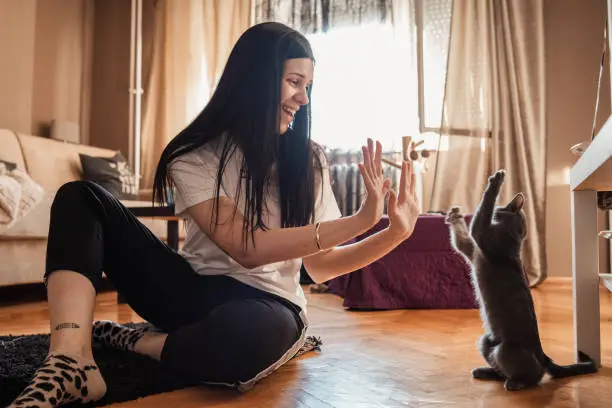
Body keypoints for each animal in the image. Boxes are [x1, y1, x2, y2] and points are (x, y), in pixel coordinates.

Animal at [444, 168, 596, 388]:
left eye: (500, 207)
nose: (500, 208)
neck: (514, 237)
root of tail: (543, 355)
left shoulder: (482, 235)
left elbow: (483, 211)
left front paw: (496, 180)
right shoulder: (472, 248)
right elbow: (462, 237)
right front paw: (455, 214)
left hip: (505, 349)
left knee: (534, 375)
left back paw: (516, 383)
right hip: (487, 339)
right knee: (501, 368)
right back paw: (485, 372)